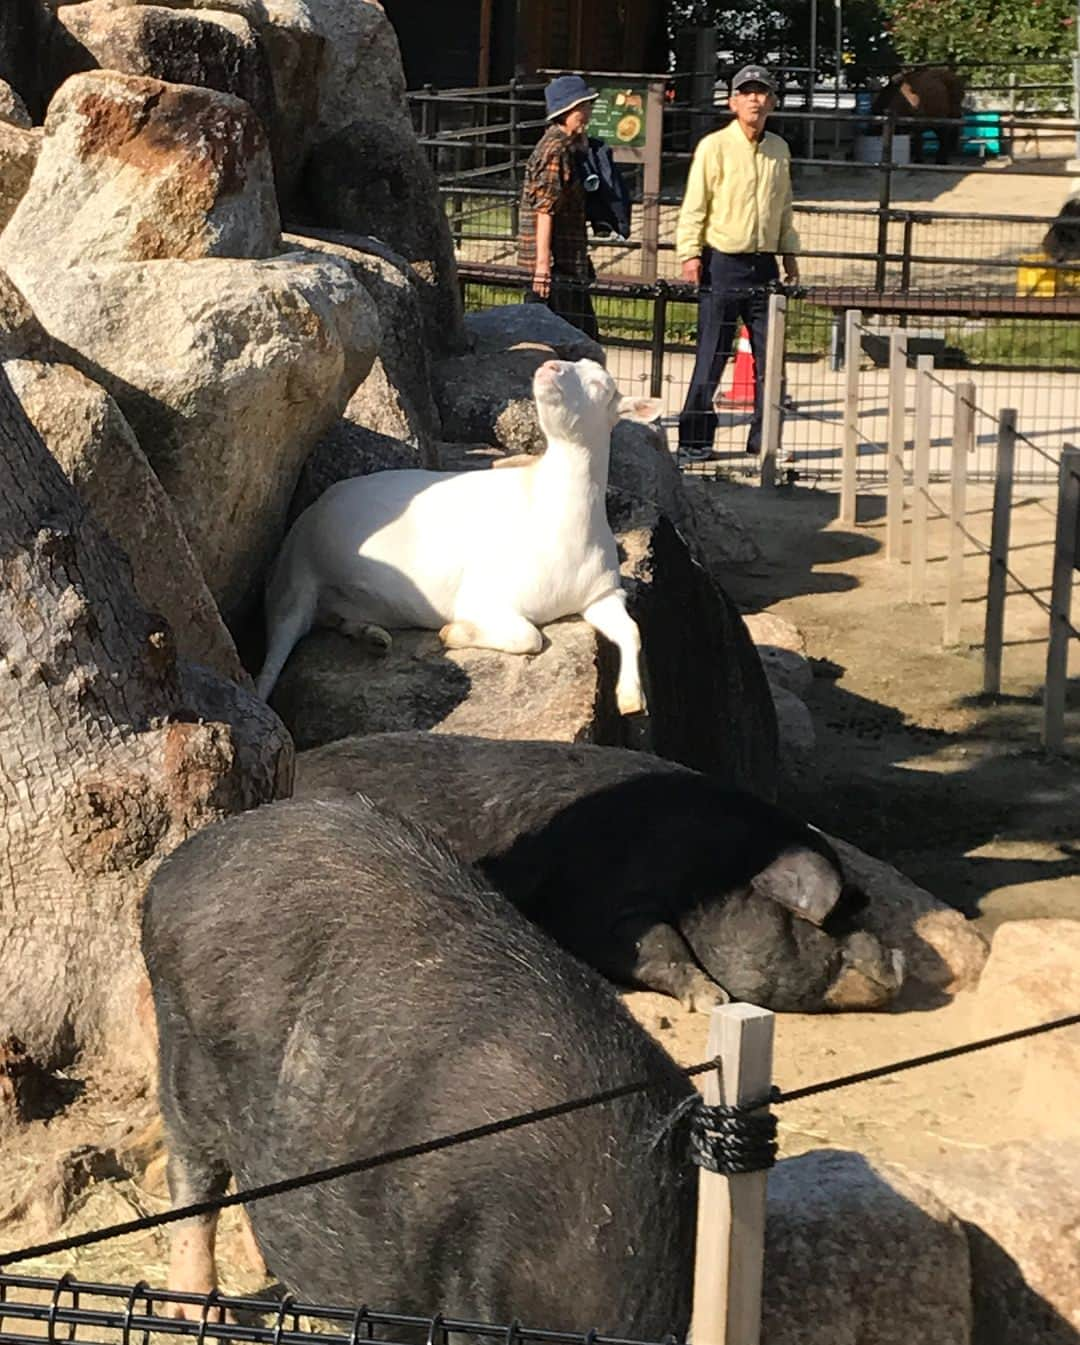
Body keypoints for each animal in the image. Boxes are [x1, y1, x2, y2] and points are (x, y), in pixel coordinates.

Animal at [255, 357, 659, 715]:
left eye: (601, 386)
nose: (550, 368)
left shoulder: (601, 593)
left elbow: (632, 630)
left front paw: (631, 700)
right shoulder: (484, 596)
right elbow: (530, 636)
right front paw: (452, 633)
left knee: (334, 619)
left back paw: (372, 636)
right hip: (297, 576)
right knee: (280, 637)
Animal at [293, 737, 903, 1011]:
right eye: (832, 918)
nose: (899, 964)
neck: (711, 868)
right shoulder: (606, 902)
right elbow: (657, 948)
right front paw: (712, 999)